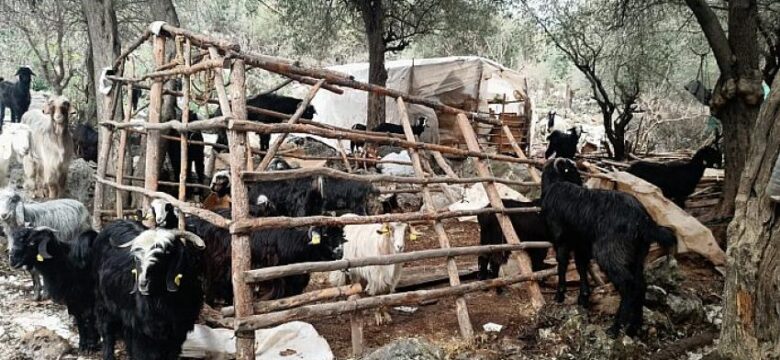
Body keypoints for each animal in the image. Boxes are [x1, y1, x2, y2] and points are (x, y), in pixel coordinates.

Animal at [544, 158, 676, 338]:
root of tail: (643, 220)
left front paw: (560, 295)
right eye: (571, 170)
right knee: (640, 285)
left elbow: (562, 264)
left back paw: (615, 328)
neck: (554, 184)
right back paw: (634, 327)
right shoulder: (581, 243)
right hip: (637, 255)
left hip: (610, 253)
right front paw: (583, 298)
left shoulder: (561, 239)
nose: (582, 183)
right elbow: (581, 265)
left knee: (628, 286)